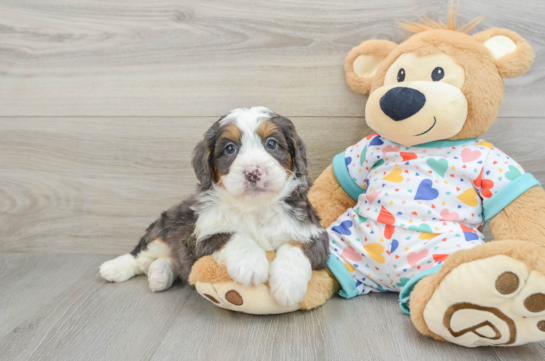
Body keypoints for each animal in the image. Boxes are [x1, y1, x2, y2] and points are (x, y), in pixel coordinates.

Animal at [99, 105, 328, 306]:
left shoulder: (312, 231)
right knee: (141, 255)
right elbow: (232, 235)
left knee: (172, 262)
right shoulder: (203, 235)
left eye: (271, 144)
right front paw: (251, 264)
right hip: (165, 227)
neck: (254, 208)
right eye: (230, 148)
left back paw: (160, 274)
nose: (253, 172)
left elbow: (295, 246)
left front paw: (288, 284)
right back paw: (114, 268)